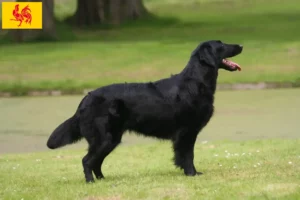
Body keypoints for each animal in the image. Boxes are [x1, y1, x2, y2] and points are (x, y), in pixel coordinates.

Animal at [47, 39, 244, 182]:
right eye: (221, 45)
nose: (241, 45)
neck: (196, 82)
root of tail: (86, 98)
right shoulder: (186, 132)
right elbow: (187, 155)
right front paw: (192, 174)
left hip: (111, 139)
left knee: (96, 162)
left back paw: (103, 180)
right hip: (104, 138)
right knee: (87, 161)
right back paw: (91, 182)